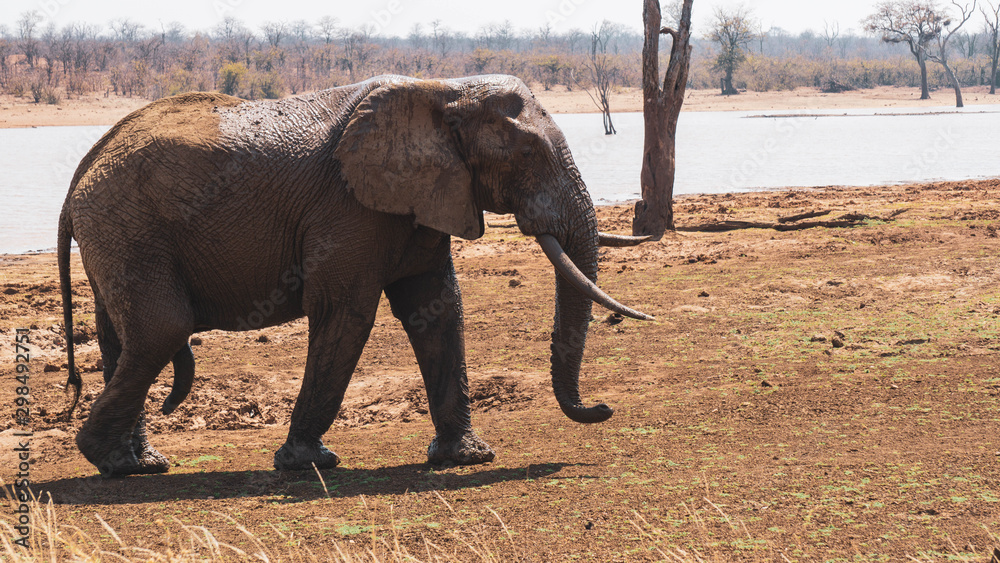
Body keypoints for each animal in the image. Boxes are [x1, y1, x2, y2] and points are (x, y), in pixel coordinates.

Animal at [58, 74, 653, 477]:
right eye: (526, 153)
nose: (601, 408)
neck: (442, 91)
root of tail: (83, 167)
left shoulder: (423, 197)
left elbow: (437, 309)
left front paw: (465, 458)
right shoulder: (348, 208)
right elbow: (347, 312)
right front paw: (306, 462)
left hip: (117, 234)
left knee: (126, 339)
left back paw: (135, 463)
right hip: (128, 228)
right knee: (162, 329)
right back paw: (112, 460)